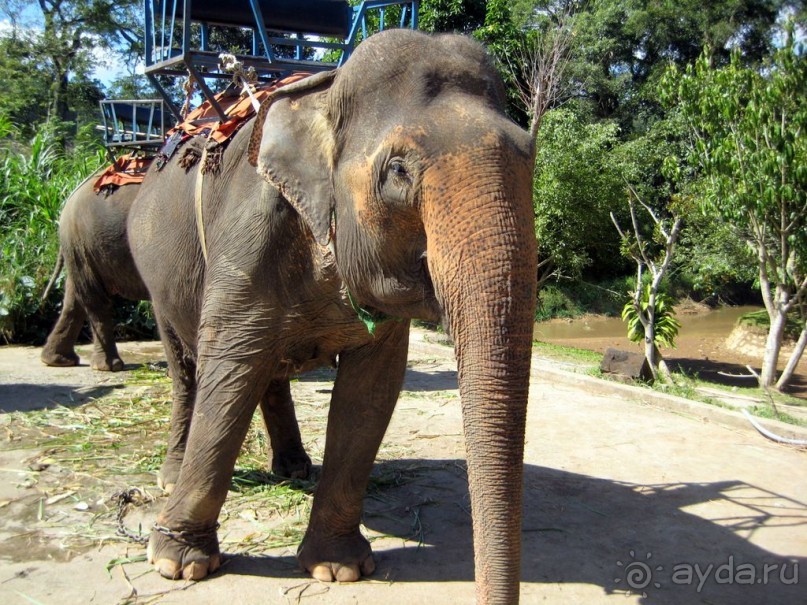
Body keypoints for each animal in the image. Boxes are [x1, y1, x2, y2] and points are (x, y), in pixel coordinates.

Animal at [40, 168, 150, 370]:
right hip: (82, 244)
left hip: (79, 248)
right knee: (95, 300)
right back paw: (109, 366)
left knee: (74, 297)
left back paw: (58, 361)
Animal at [129, 29, 540, 604]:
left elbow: (369, 392)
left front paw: (338, 568)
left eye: (531, 156)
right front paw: (178, 563)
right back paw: (171, 477)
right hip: (156, 277)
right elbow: (229, 372)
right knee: (188, 370)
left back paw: (295, 471)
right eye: (398, 171)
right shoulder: (247, 232)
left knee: (268, 371)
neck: (325, 96)